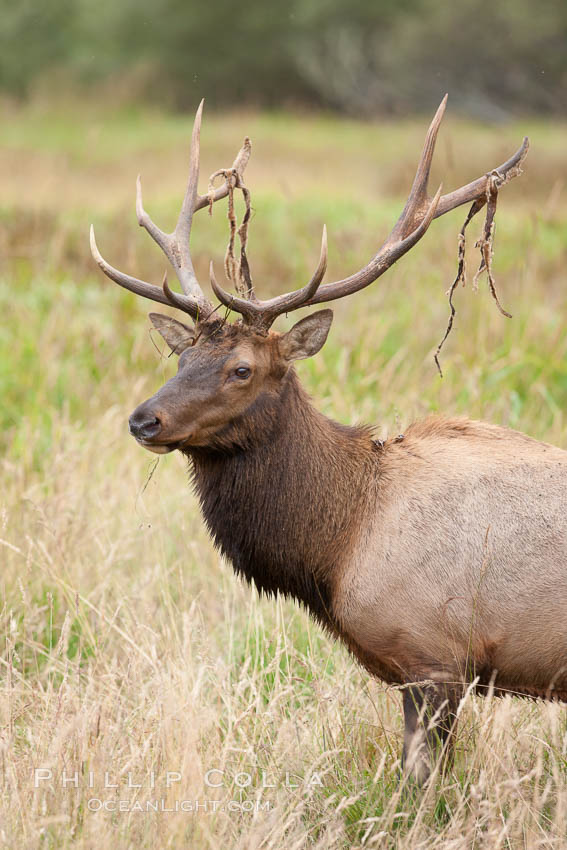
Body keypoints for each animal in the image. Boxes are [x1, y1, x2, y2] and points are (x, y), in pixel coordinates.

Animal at [90, 94, 564, 780]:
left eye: (242, 370)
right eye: (181, 359)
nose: (143, 419)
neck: (341, 545)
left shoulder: (435, 658)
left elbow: (419, 783)